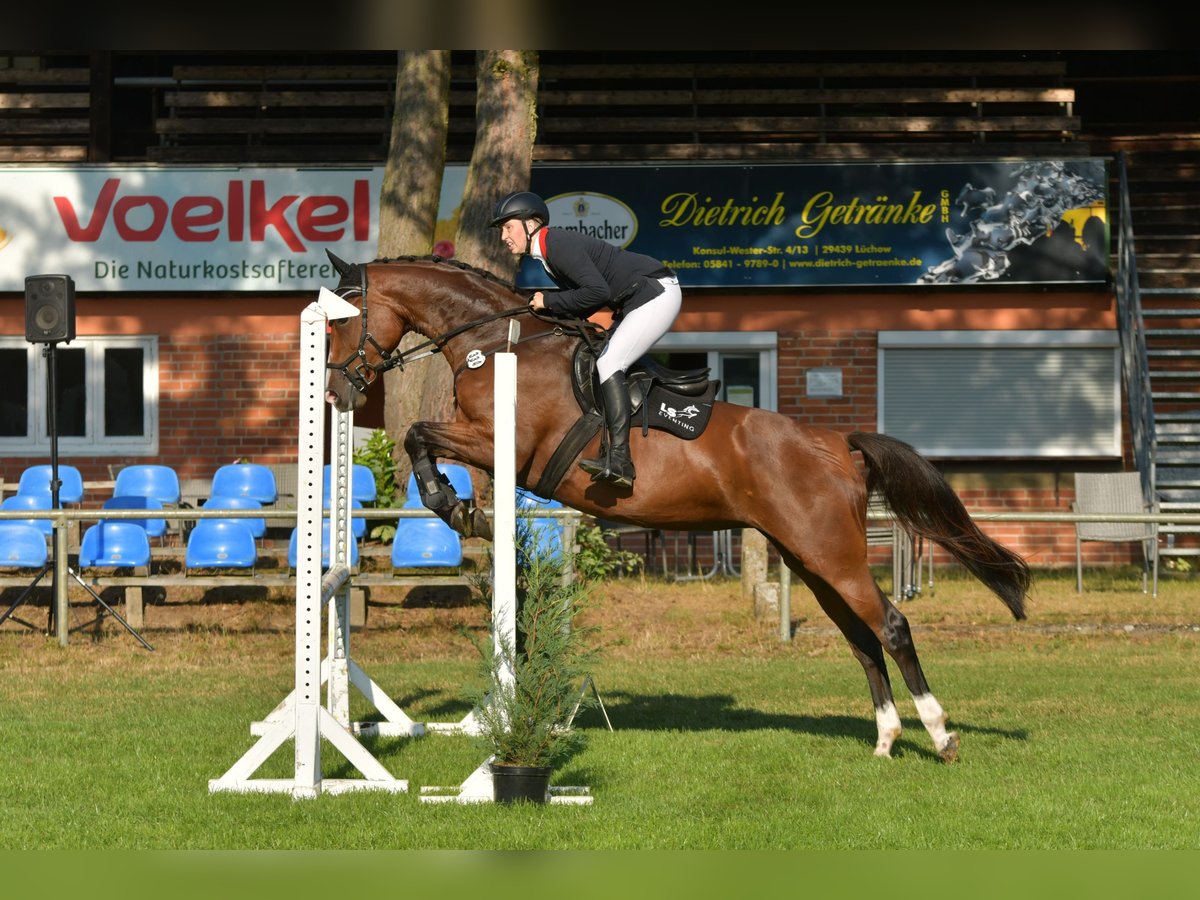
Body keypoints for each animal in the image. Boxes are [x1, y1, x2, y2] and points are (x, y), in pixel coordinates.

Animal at [324, 250, 1027, 763]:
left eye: (341, 318)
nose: (335, 392)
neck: (499, 341)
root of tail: (835, 444)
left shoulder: (503, 445)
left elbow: (419, 435)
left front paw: (452, 505)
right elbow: (419, 437)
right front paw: (456, 508)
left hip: (832, 552)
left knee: (892, 627)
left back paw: (940, 735)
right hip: (810, 557)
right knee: (861, 638)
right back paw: (884, 741)